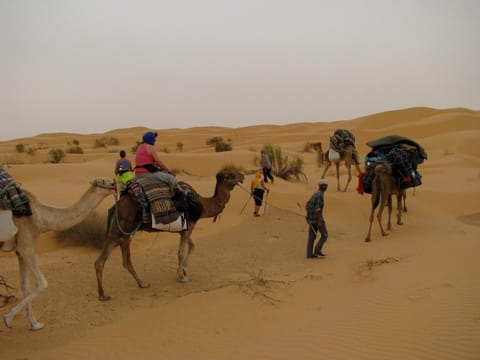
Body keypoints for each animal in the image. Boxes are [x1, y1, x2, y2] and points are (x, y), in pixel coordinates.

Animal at [2, 177, 116, 330]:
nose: (117, 183)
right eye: (107, 182)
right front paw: (8, 318)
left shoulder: (19, 251)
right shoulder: (26, 245)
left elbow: (25, 286)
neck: (40, 217)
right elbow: (42, 283)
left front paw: (34, 324)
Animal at [94, 166, 244, 300]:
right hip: (121, 231)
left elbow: (192, 246)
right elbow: (181, 252)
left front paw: (184, 270)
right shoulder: (189, 226)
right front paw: (182, 277)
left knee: (117, 260)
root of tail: (116, 206)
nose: (242, 176)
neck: (202, 204)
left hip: (121, 233)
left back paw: (132, 285)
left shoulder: (184, 230)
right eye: (231, 175)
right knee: (109, 261)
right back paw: (110, 293)